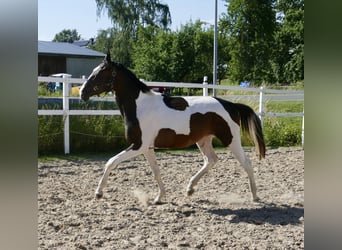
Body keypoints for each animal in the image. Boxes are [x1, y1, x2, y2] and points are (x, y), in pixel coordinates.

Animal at [79, 53, 266, 204]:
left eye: (100, 72)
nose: (82, 92)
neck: (140, 106)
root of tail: (230, 105)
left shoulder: (138, 146)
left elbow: (110, 162)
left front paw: (98, 193)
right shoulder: (147, 148)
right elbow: (156, 171)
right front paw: (158, 198)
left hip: (231, 139)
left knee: (246, 163)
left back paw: (255, 196)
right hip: (203, 140)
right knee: (211, 160)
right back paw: (190, 189)